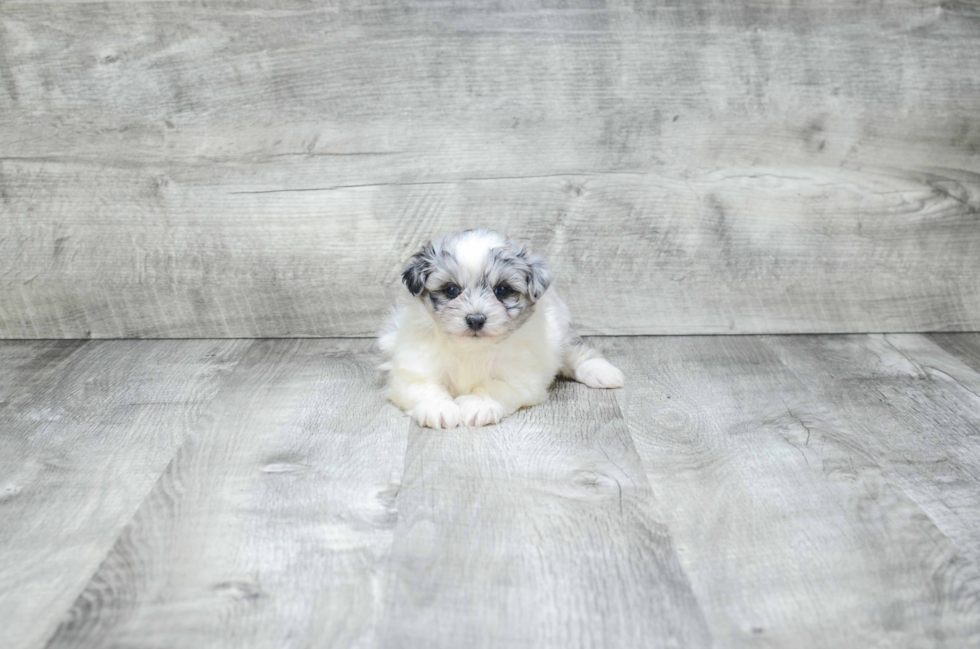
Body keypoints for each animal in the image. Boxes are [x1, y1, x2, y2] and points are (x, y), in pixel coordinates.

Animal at [378, 230, 624, 428]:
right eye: (451, 290)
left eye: (502, 290)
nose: (476, 319)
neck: (470, 349)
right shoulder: (414, 369)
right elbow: (425, 387)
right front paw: (439, 408)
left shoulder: (522, 376)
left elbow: (495, 386)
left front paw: (478, 404)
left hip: (562, 333)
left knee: (578, 353)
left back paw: (604, 373)